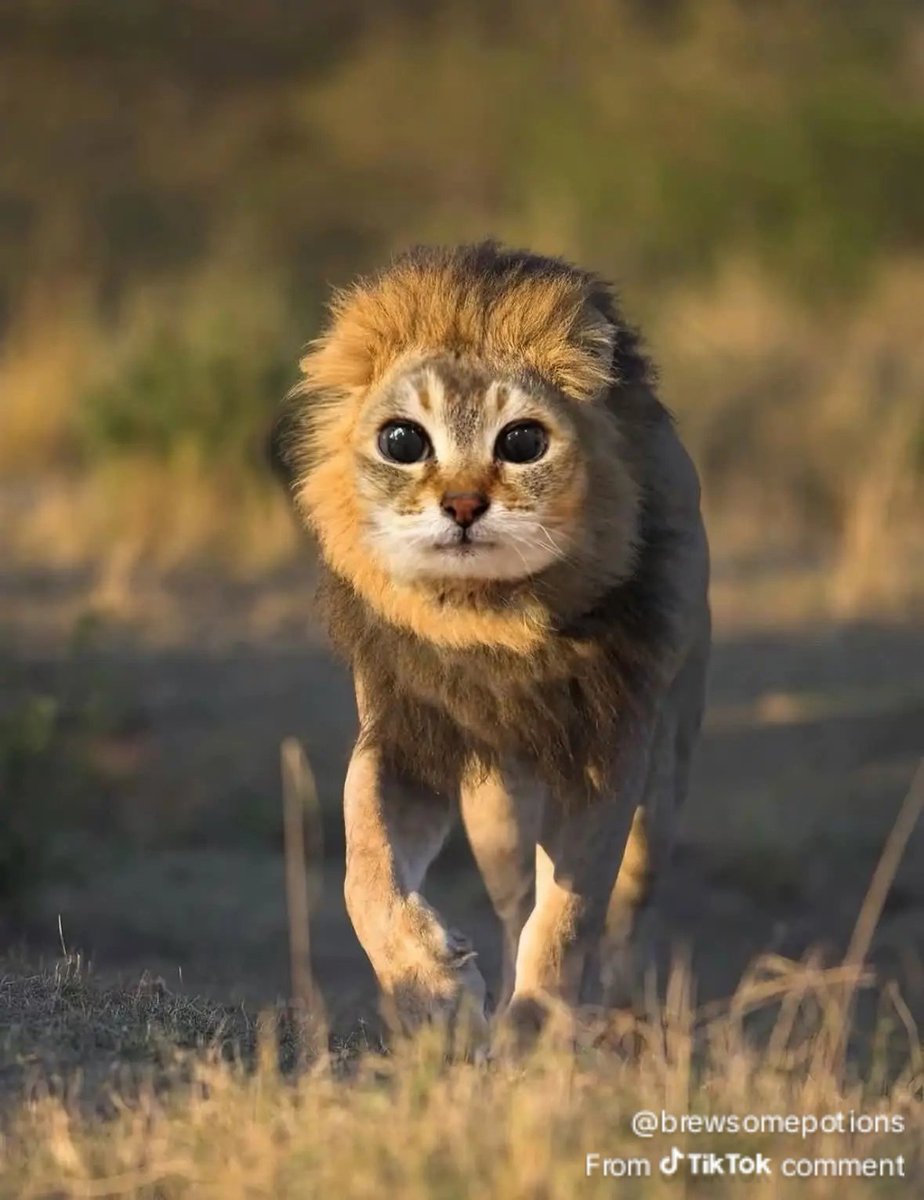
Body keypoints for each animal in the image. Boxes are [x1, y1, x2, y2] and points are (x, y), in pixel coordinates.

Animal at [272, 241, 710, 1042]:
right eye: (403, 440)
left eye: (523, 441)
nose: (464, 506)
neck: (488, 618)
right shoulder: (405, 733)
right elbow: (363, 866)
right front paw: (432, 987)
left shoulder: (610, 751)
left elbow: (572, 913)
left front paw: (537, 1024)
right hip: (495, 812)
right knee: (513, 904)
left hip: (666, 776)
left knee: (626, 913)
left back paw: (620, 1020)